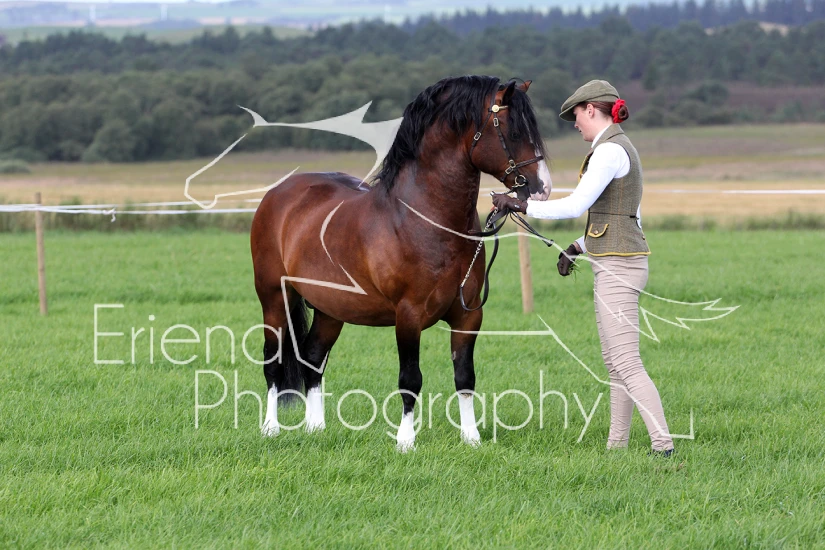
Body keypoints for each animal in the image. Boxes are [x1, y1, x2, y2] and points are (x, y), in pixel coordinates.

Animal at [250, 75, 552, 451]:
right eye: (513, 131)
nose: (542, 189)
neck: (424, 221)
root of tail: (278, 194)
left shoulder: (468, 315)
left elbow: (465, 376)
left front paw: (471, 439)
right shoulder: (408, 316)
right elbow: (411, 378)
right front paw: (405, 441)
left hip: (331, 309)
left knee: (313, 358)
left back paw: (315, 428)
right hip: (275, 300)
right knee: (274, 363)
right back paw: (270, 429)